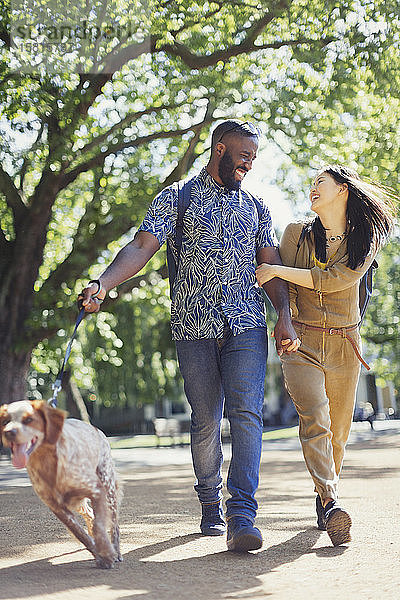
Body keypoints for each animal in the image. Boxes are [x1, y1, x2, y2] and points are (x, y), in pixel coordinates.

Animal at [0, 400, 122, 568]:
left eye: (29, 419)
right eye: (5, 422)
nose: (8, 432)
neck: (46, 460)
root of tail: (96, 429)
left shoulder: (96, 490)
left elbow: (99, 526)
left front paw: (107, 554)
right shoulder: (56, 506)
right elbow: (80, 533)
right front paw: (99, 554)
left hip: (107, 486)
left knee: (113, 524)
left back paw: (116, 551)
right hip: (78, 502)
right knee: (90, 514)